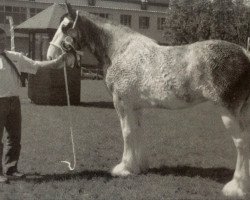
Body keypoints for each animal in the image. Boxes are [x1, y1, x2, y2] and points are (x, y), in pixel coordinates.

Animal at [47, 3, 250, 198]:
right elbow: (138, 132)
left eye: (65, 27)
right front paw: (139, 166)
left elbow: (127, 133)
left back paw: (236, 187)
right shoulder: (136, 107)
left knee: (241, 143)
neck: (120, 50)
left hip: (228, 112)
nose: (50, 55)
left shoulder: (122, 104)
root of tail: (244, 53)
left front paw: (124, 168)